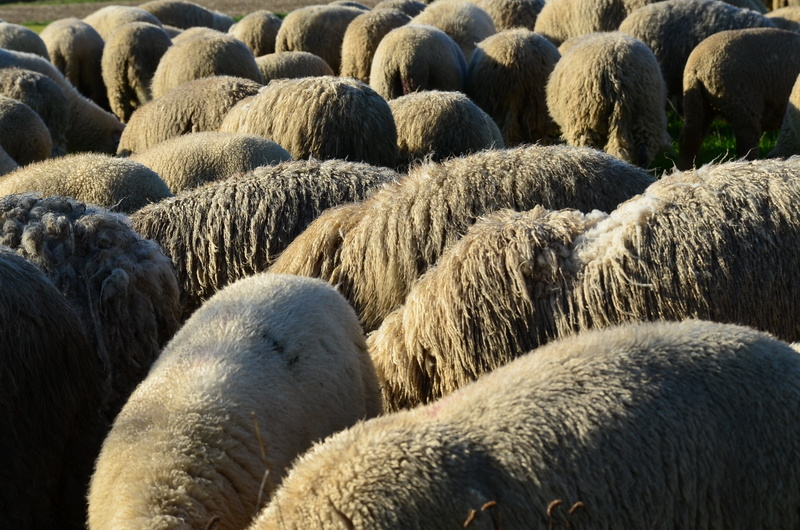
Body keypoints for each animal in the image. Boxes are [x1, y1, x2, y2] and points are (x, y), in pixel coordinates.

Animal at [677, 28, 800, 169]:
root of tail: (697, 66)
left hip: (696, 100)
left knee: (690, 137)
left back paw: (683, 169)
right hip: (742, 102)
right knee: (747, 143)